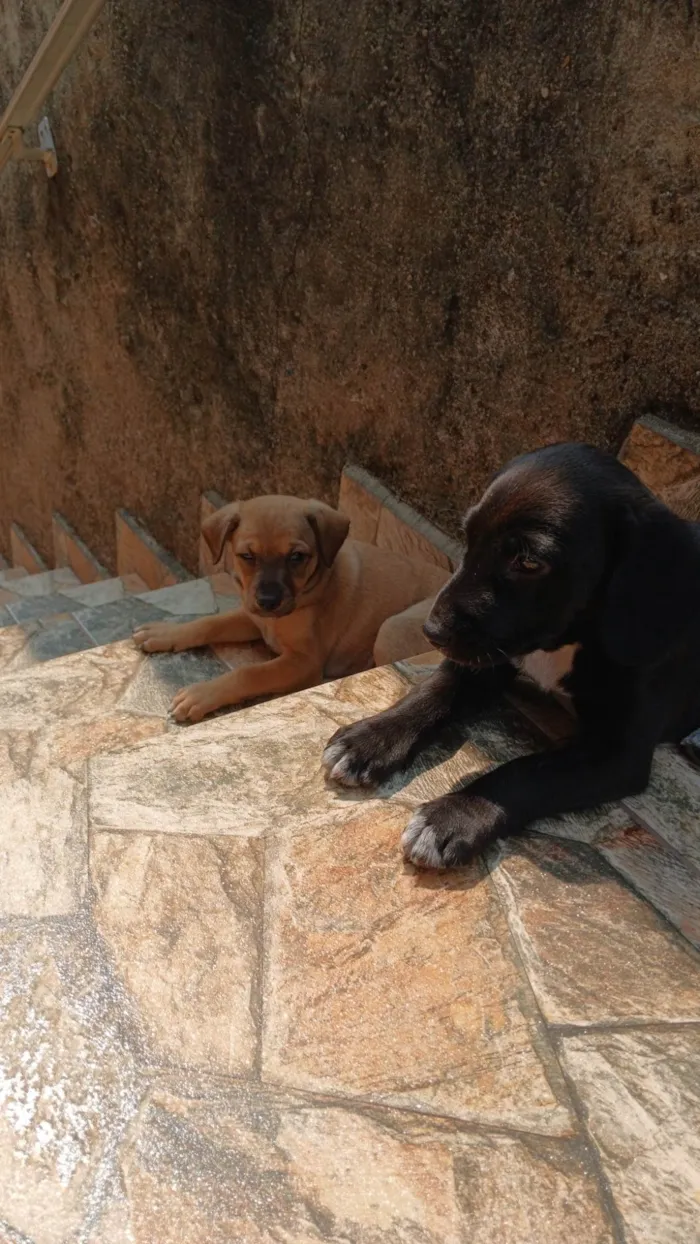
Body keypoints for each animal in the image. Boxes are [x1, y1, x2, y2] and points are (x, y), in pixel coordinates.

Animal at [132, 492, 450, 721]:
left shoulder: (303, 662)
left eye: (297, 557)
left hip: (391, 629)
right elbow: (209, 623)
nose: (269, 601)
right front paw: (164, 633)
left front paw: (200, 695)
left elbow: (249, 673)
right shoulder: (254, 618)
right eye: (247, 556)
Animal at [320, 445, 700, 865]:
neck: (568, 640)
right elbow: (433, 692)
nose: (432, 631)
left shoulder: (618, 753)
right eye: (468, 537)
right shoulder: (483, 663)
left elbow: (529, 770)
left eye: (529, 562)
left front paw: (455, 815)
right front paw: (371, 738)